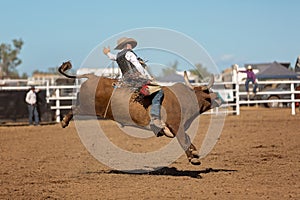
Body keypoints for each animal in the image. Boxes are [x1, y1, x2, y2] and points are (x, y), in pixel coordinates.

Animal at [59, 61, 223, 166]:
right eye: (208, 92)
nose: (219, 99)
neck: (185, 98)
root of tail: (92, 77)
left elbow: (188, 139)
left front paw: (194, 153)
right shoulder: (176, 126)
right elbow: (184, 140)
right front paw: (193, 158)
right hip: (88, 107)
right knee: (75, 109)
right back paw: (64, 121)